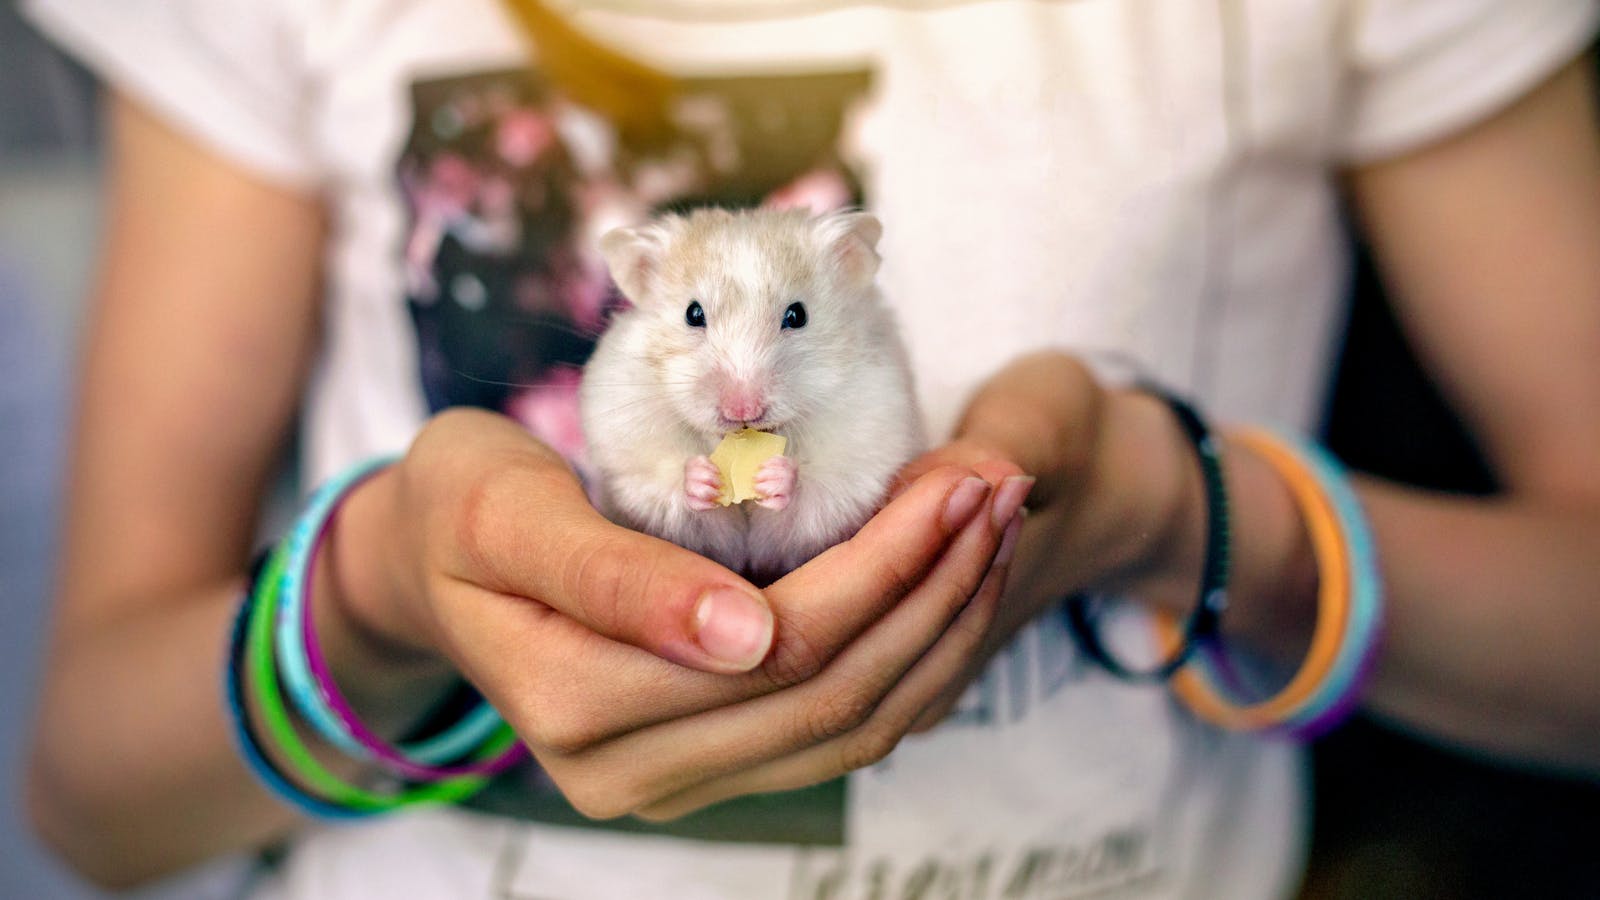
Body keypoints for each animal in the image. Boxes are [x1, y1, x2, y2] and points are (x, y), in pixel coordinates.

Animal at [579, 207, 925, 582]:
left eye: (797, 315)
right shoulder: (632, 461)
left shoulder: (860, 458)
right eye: (693, 313)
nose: (742, 410)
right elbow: (674, 496)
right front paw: (701, 478)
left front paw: (776, 477)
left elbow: (811, 498)